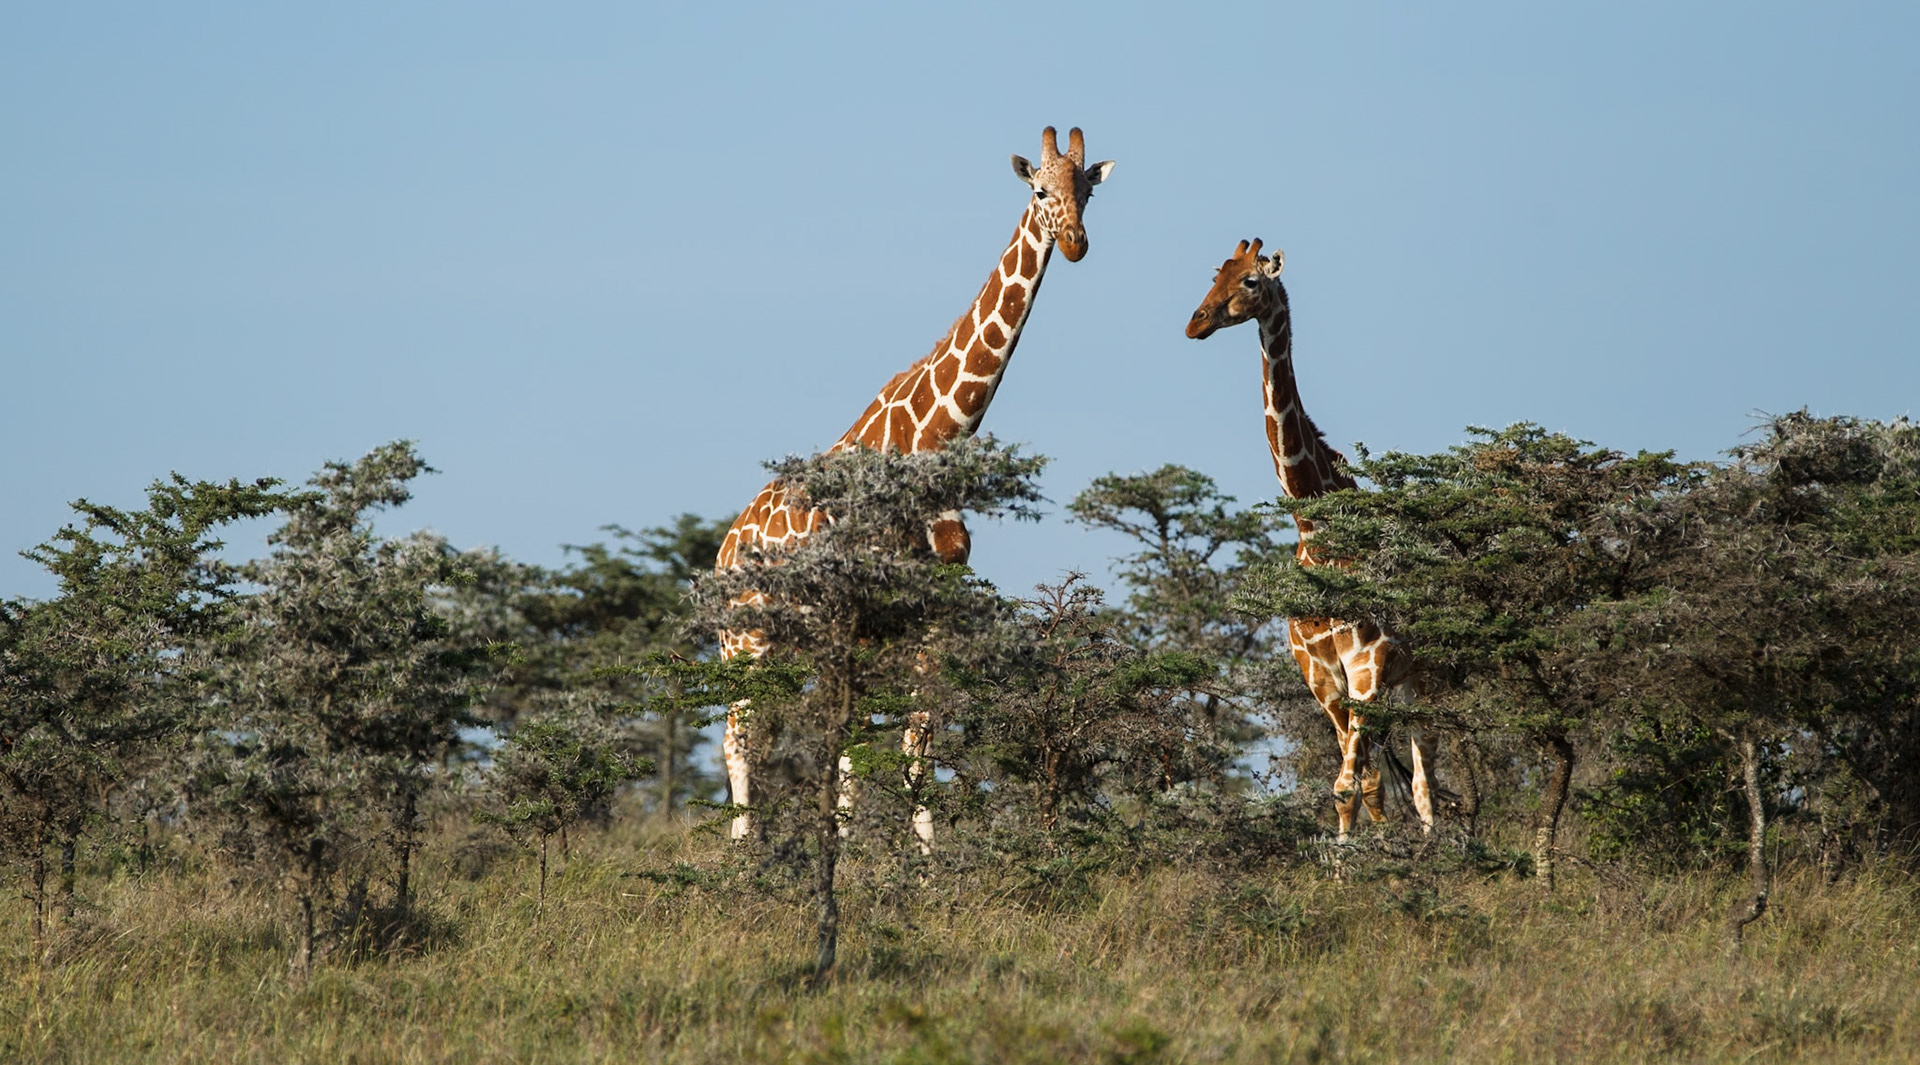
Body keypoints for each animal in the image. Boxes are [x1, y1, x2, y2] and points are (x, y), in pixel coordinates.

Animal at [716, 126, 1115, 843]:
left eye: (1088, 191)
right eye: (1040, 191)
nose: (1074, 243)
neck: (933, 440)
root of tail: (721, 551)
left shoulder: (924, 616)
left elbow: (913, 743)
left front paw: (914, 860)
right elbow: (874, 744)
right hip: (746, 639)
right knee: (739, 737)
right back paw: (742, 853)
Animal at [1185, 239, 1436, 840]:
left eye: (1251, 281)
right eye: (1215, 273)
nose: (1195, 322)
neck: (1315, 529)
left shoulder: (1367, 663)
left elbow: (1350, 784)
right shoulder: (1322, 676)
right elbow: (1358, 785)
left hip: (1425, 674)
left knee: (1425, 780)